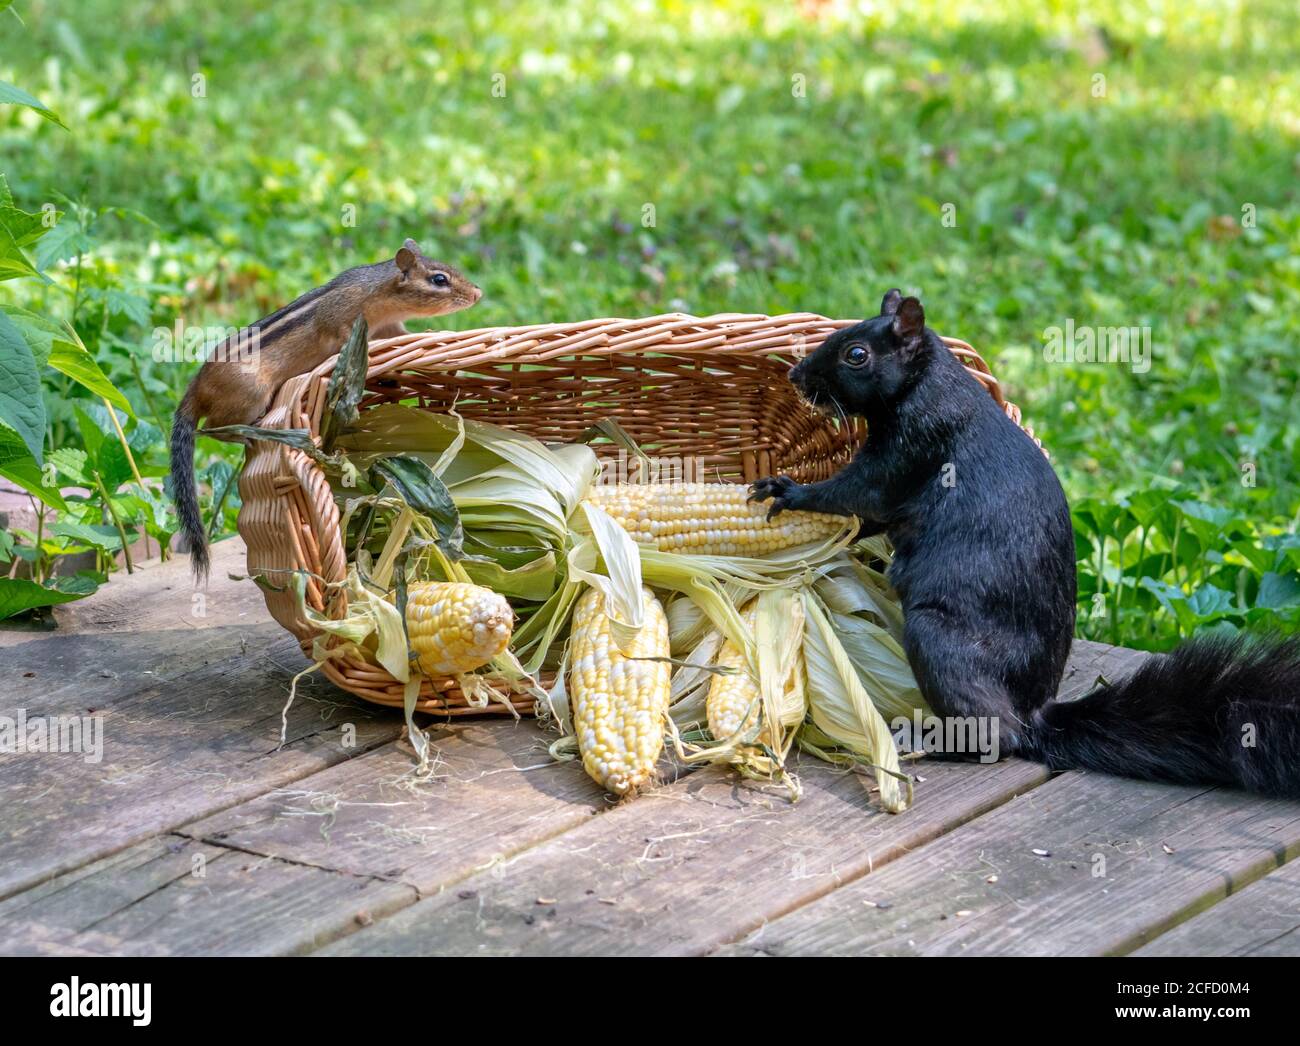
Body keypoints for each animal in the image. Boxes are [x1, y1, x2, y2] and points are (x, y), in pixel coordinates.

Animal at [754, 289, 1300, 795]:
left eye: (857, 354)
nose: (797, 375)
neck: (925, 383)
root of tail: (1034, 715)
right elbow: (868, 519)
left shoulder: (913, 446)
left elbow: (856, 494)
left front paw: (788, 491)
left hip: (940, 642)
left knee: (996, 739)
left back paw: (931, 741)